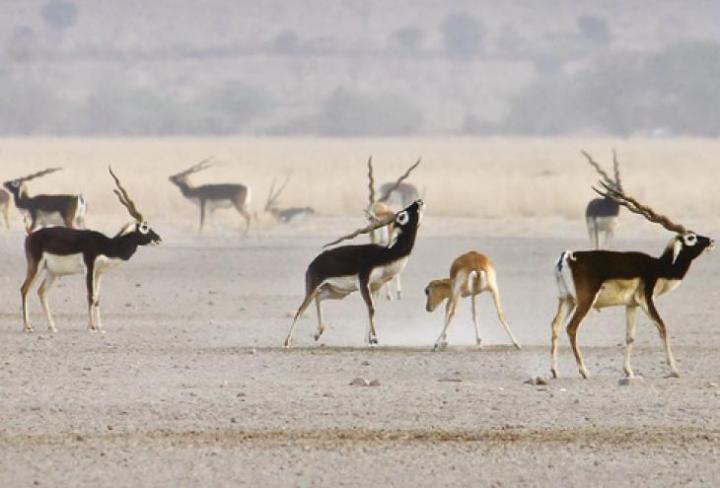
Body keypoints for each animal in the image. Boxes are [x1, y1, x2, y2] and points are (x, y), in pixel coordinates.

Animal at [19, 167, 162, 332]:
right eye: (145, 227)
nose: (159, 239)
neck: (107, 245)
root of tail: (30, 237)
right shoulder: (90, 266)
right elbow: (90, 295)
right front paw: (92, 327)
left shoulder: (99, 272)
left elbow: (97, 297)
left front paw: (100, 327)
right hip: (36, 267)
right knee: (24, 289)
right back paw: (27, 327)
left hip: (52, 272)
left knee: (41, 292)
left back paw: (53, 327)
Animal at [284, 198, 424, 346]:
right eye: (402, 215)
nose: (418, 201)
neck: (385, 255)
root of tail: (313, 262)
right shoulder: (363, 281)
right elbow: (371, 308)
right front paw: (374, 338)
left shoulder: (376, 286)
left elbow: (371, 309)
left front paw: (368, 340)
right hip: (313, 288)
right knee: (300, 310)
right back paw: (287, 342)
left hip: (337, 292)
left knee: (319, 297)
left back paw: (318, 333)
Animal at [552, 181, 716, 380]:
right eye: (691, 237)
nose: (711, 241)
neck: (658, 266)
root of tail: (568, 257)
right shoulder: (646, 299)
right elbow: (662, 326)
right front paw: (675, 370)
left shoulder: (631, 304)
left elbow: (630, 336)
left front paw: (628, 371)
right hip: (585, 300)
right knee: (571, 328)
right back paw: (584, 371)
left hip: (566, 299)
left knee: (555, 326)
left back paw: (554, 371)